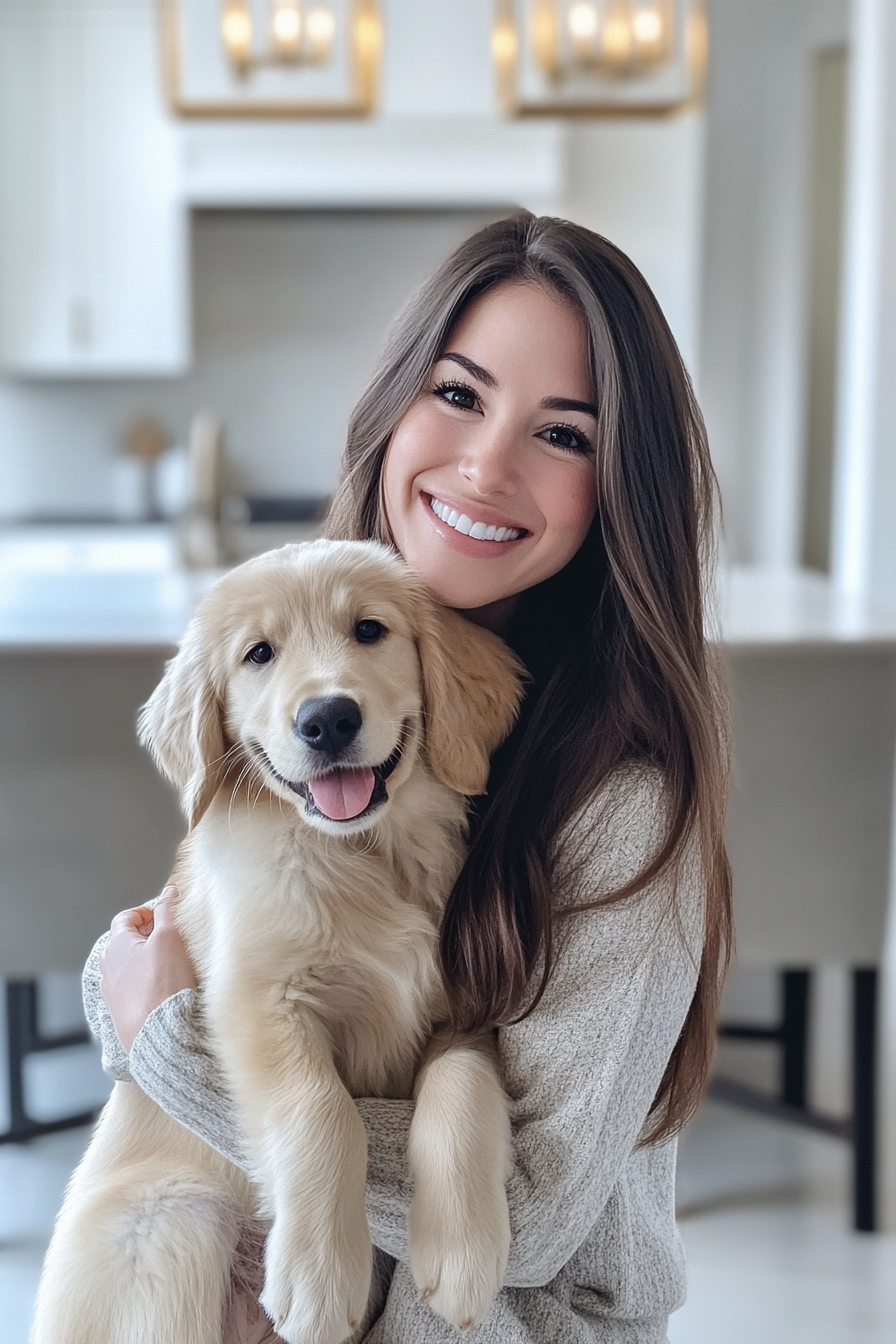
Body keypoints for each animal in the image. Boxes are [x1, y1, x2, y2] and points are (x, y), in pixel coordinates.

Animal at [31, 540, 526, 1344]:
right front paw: (321, 1279)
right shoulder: (255, 999)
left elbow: (461, 1088)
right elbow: (319, 1110)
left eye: (369, 630)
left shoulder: (466, 1008)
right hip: (166, 1230)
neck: (365, 854)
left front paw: (463, 1253)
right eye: (258, 654)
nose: (327, 718)